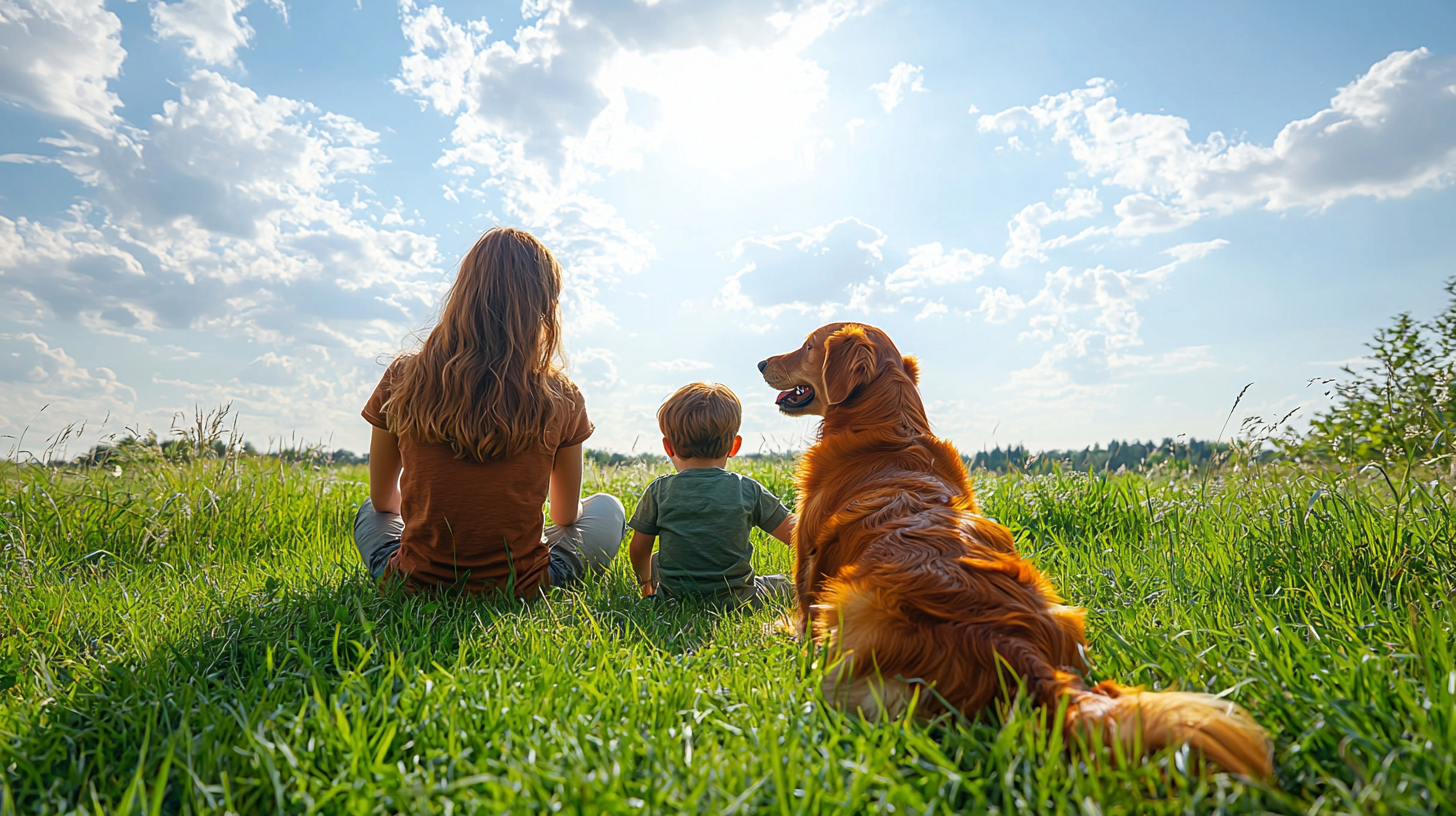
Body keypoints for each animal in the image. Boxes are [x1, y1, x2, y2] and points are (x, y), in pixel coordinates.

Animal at [757, 320, 1269, 775]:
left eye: (807, 345)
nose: (760, 361)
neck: (887, 428)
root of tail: (1014, 648)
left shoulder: (808, 575)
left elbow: (796, 617)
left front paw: (775, 631)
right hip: (1065, 613)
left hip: (847, 605)